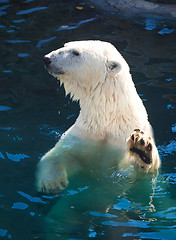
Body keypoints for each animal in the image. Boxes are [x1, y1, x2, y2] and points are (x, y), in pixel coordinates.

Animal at [36, 39, 161, 193]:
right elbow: (59, 155)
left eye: (76, 52)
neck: (109, 119)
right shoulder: (84, 135)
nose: (47, 59)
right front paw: (52, 183)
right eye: (65, 45)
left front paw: (141, 149)